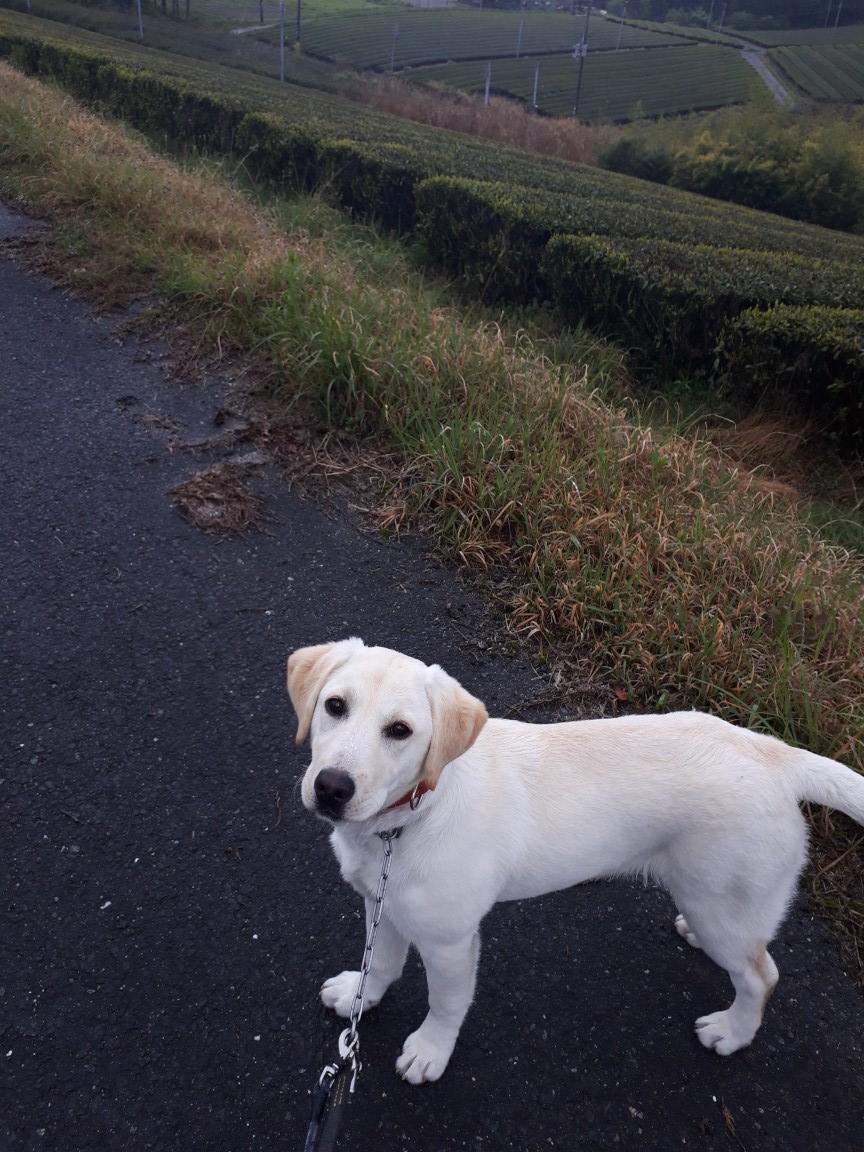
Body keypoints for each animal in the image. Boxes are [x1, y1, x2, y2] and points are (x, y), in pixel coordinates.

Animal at [287, 638, 864, 1084]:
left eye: (400, 731)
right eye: (334, 706)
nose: (332, 788)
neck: (410, 815)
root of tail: (779, 757)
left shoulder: (450, 942)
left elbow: (446, 1003)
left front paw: (430, 1052)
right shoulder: (381, 902)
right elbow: (381, 961)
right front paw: (360, 994)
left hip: (722, 904)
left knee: (761, 977)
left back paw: (732, 1031)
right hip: (716, 902)